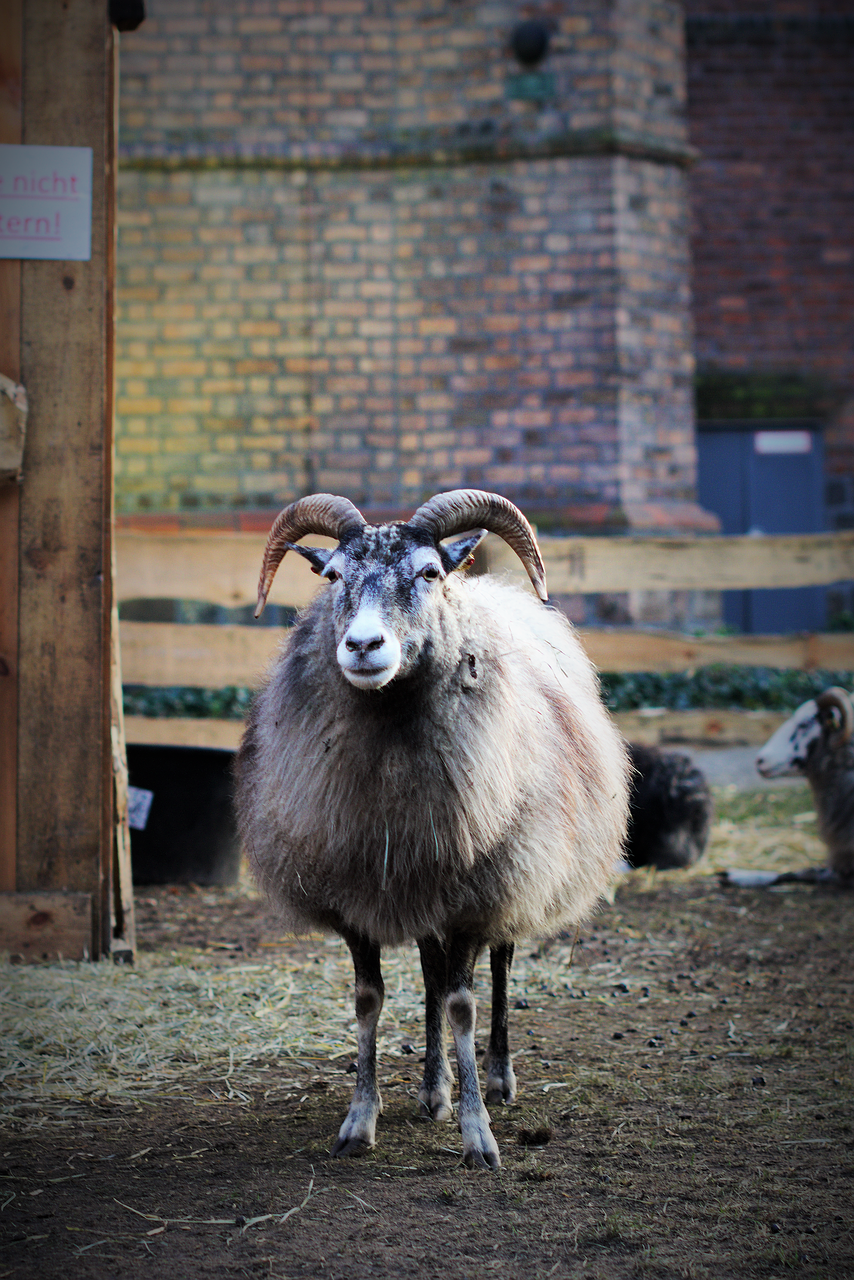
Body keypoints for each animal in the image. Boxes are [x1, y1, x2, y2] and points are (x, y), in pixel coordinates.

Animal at [234, 488, 627, 1172]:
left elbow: (464, 1004)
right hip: (419, 885)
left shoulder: (476, 893)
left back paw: (495, 1078)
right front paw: (360, 1121)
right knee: (430, 973)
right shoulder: (358, 893)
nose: (364, 646)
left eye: (428, 573)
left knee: (497, 965)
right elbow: (372, 999)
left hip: (512, 869)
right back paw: (433, 1088)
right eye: (333, 576)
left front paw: (478, 1136)